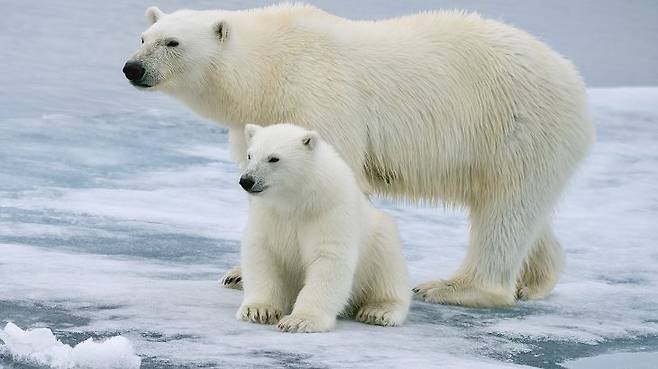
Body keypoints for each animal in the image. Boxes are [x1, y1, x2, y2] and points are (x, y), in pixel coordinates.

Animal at [124, 4, 596, 306]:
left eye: (172, 42)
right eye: (143, 37)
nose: (133, 68)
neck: (269, 68)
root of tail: (573, 77)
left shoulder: (318, 98)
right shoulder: (254, 122)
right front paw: (238, 272)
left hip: (518, 125)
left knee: (505, 210)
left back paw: (454, 288)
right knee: (520, 208)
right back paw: (533, 282)